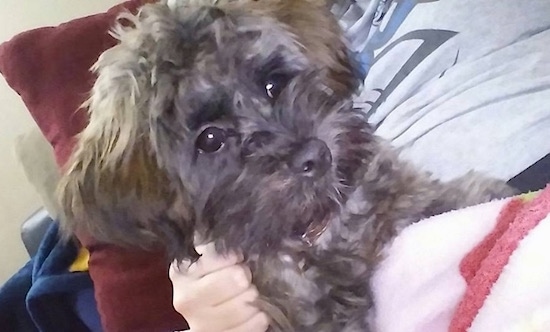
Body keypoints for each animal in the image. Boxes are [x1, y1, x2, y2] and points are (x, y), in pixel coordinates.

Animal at [59, 1, 516, 330]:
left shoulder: (395, 191)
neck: (319, 228)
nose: (314, 155)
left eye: (272, 84)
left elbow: (433, 197)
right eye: (210, 139)